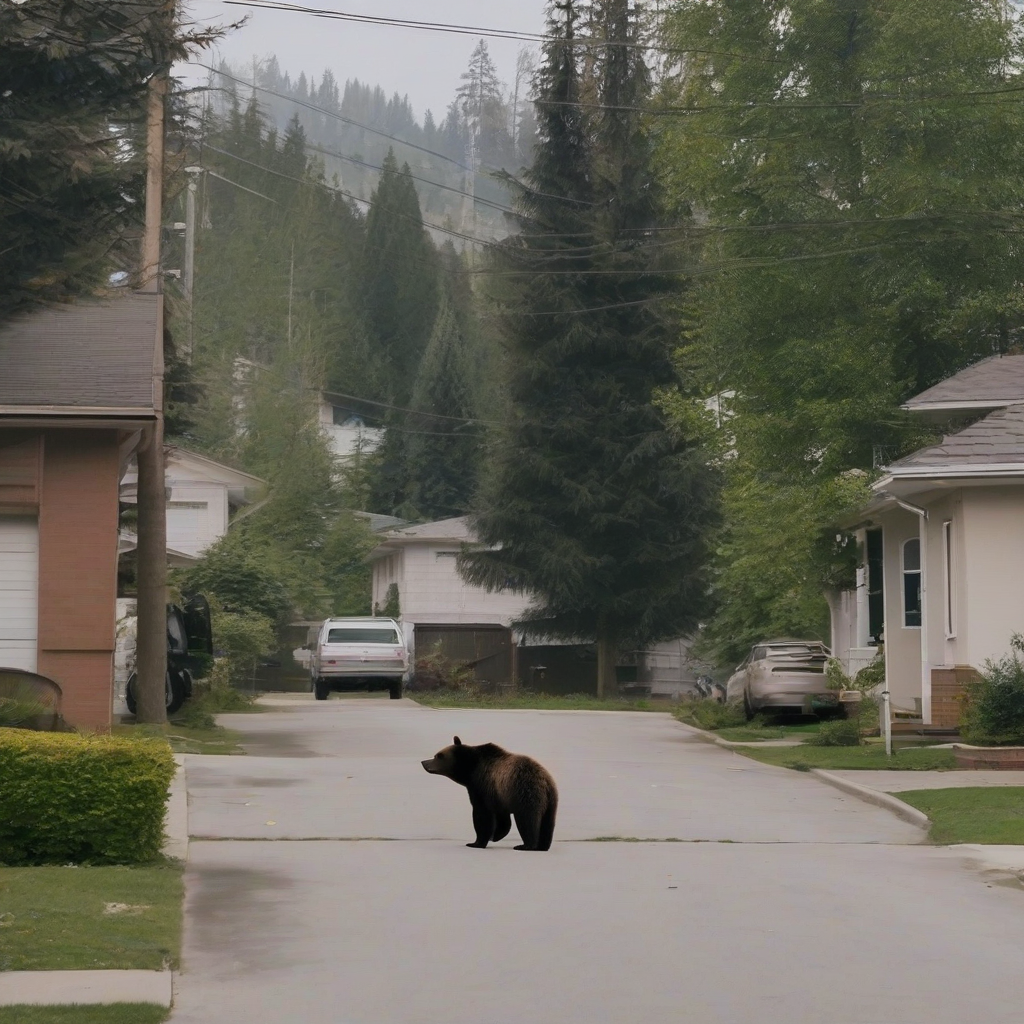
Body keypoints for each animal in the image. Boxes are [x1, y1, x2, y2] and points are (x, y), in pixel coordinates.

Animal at [419, 737, 557, 847]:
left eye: (438, 755)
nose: (423, 762)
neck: (470, 770)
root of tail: (545, 782)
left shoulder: (482, 787)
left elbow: (482, 814)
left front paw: (476, 843)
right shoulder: (499, 795)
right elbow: (502, 819)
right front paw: (495, 836)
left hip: (525, 792)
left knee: (527, 819)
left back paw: (526, 845)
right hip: (551, 801)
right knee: (548, 823)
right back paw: (543, 846)